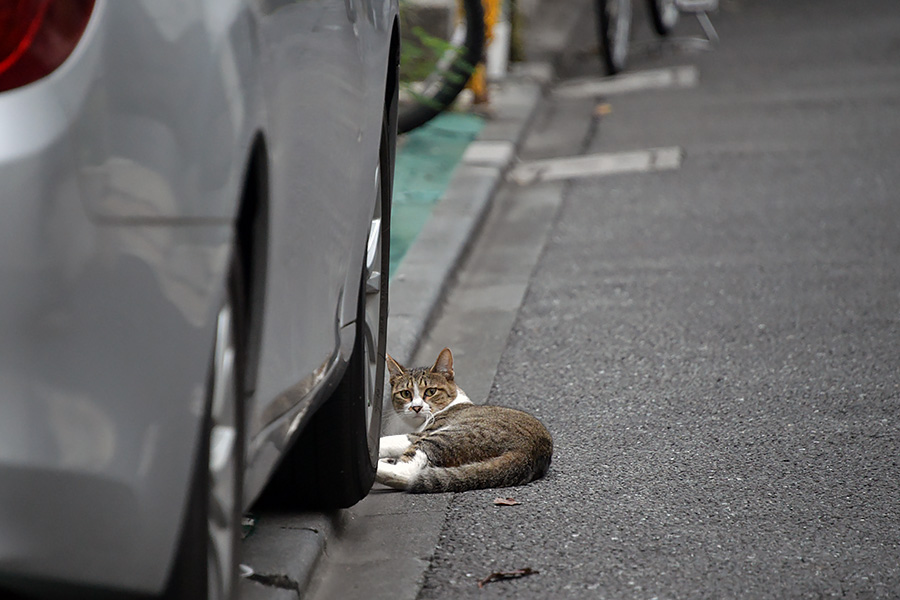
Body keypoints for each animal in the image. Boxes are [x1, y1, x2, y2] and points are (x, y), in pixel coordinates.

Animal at [370, 346, 548, 492]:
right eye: (406, 393)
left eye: (430, 391)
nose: (416, 407)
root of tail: (527, 451)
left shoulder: (421, 434)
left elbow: (388, 441)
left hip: (444, 437)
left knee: (407, 472)